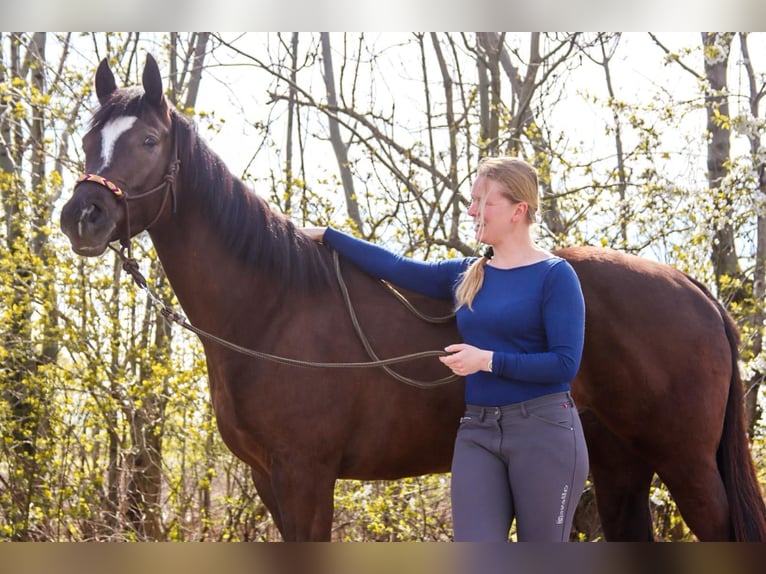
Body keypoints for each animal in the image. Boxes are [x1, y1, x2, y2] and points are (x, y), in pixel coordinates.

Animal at [60, 54, 766, 541]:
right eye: (89, 140)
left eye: (148, 141)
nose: (82, 216)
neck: (270, 309)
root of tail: (695, 290)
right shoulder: (267, 477)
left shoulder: (306, 473)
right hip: (620, 461)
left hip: (686, 461)